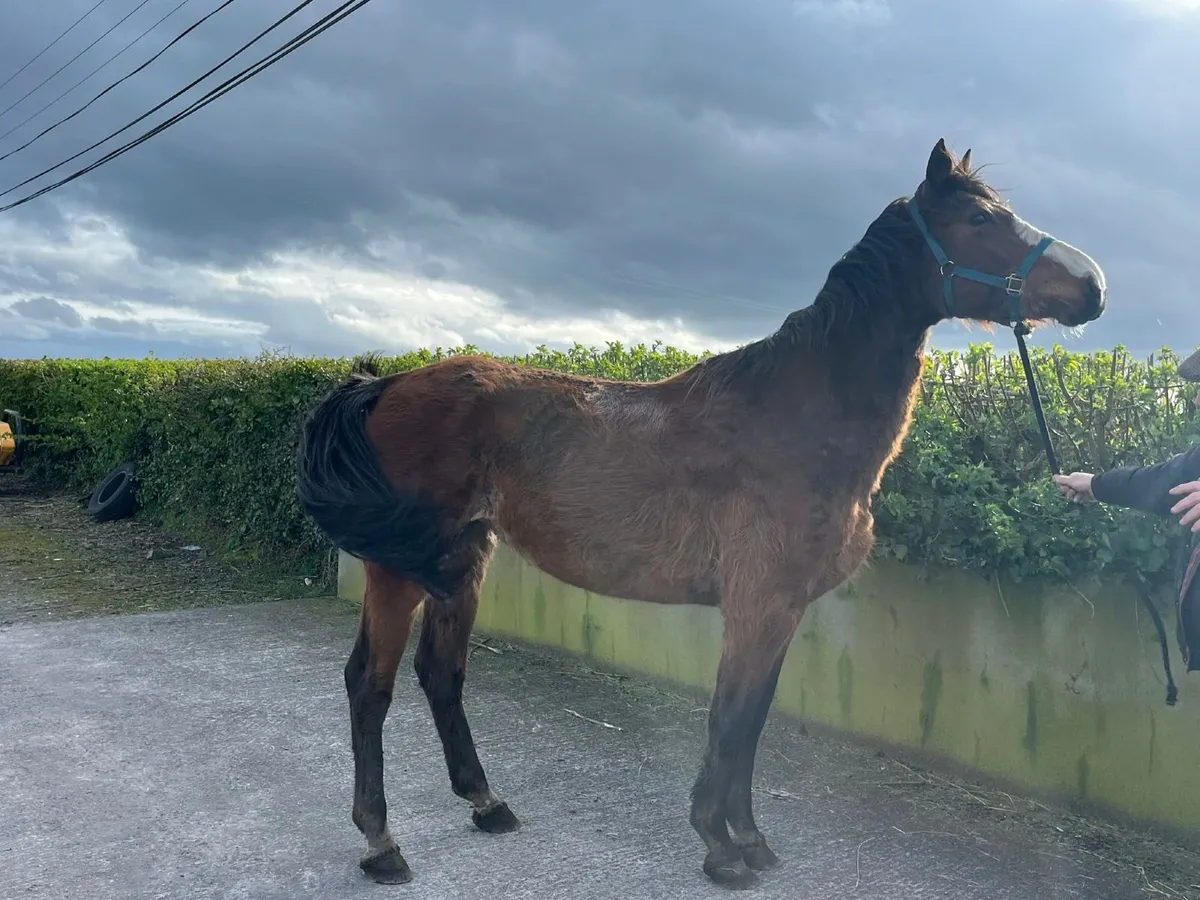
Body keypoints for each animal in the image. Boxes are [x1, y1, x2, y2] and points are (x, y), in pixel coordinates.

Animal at [296, 139, 1107, 889]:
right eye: (979, 219)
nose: (1094, 287)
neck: (788, 418)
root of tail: (384, 384)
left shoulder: (782, 610)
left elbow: (752, 721)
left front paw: (749, 838)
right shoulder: (757, 604)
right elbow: (731, 718)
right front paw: (720, 847)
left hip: (463, 560)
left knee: (442, 673)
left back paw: (487, 803)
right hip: (398, 571)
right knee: (370, 683)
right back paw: (382, 842)